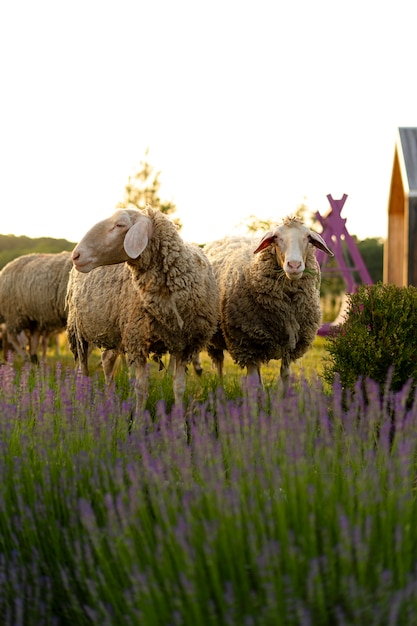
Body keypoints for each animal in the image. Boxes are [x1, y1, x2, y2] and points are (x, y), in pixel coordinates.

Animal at [66, 205, 218, 410]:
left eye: (120, 224)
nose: (76, 256)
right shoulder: (137, 341)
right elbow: (141, 387)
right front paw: (138, 417)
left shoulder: (186, 344)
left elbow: (179, 387)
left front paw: (179, 417)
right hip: (79, 331)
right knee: (83, 370)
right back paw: (82, 404)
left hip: (114, 330)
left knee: (107, 361)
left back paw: (110, 399)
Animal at [203, 217, 334, 388]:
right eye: (276, 237)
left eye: (308, 237)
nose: (294, 265)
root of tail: (224, 238)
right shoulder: (247, 343)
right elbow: (252, 382)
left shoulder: (289, 342)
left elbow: (285, 375)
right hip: (215, 336)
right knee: (219, 363)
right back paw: (220, 389)